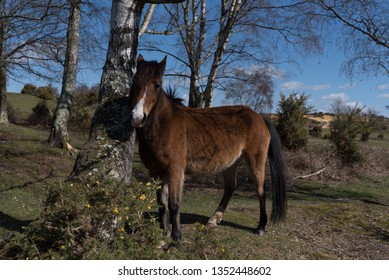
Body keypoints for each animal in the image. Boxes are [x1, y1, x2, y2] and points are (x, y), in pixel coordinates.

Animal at [129, 54, 286, 241]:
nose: (137, 118)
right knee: (230, 187)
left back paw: (261, 226)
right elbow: (162, 203)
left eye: (157, 84)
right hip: (231, 164)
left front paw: (176, 236)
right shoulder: (155, 172)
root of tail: (260, 117)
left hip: (256, 161)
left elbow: (174, 204)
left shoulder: (175, 170)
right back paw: (214, 219)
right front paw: (163, 232)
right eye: (134, 80)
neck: (164, 125)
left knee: (260, 191)